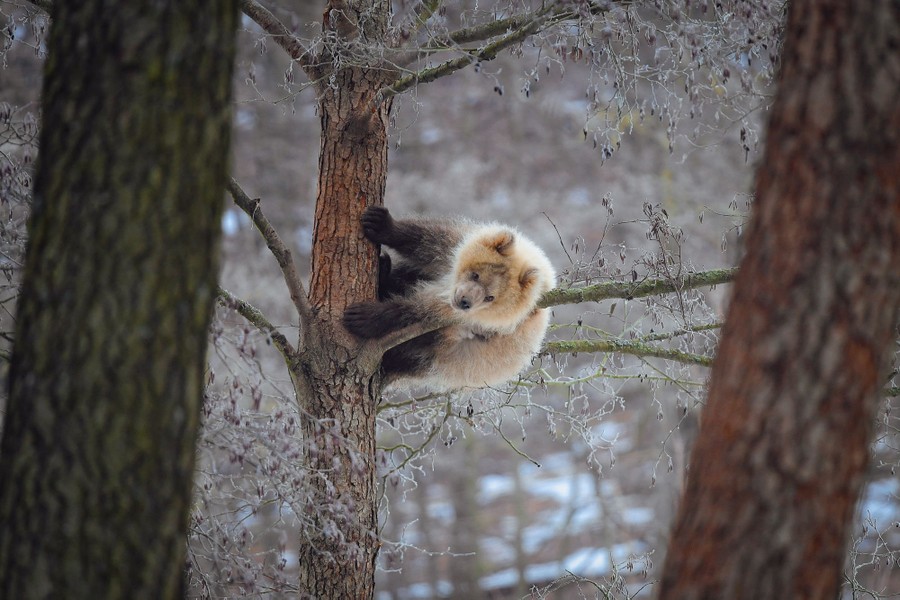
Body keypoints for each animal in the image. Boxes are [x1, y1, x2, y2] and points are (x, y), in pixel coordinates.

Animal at [343, 206, 556, 392]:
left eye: (490, 297)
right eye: (476, 275)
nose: (464, 301)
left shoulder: (483, 321)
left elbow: (421, 312)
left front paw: (365, 317)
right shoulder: (456, 246)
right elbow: (429, 241)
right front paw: (381, 224)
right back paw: (384, 271)